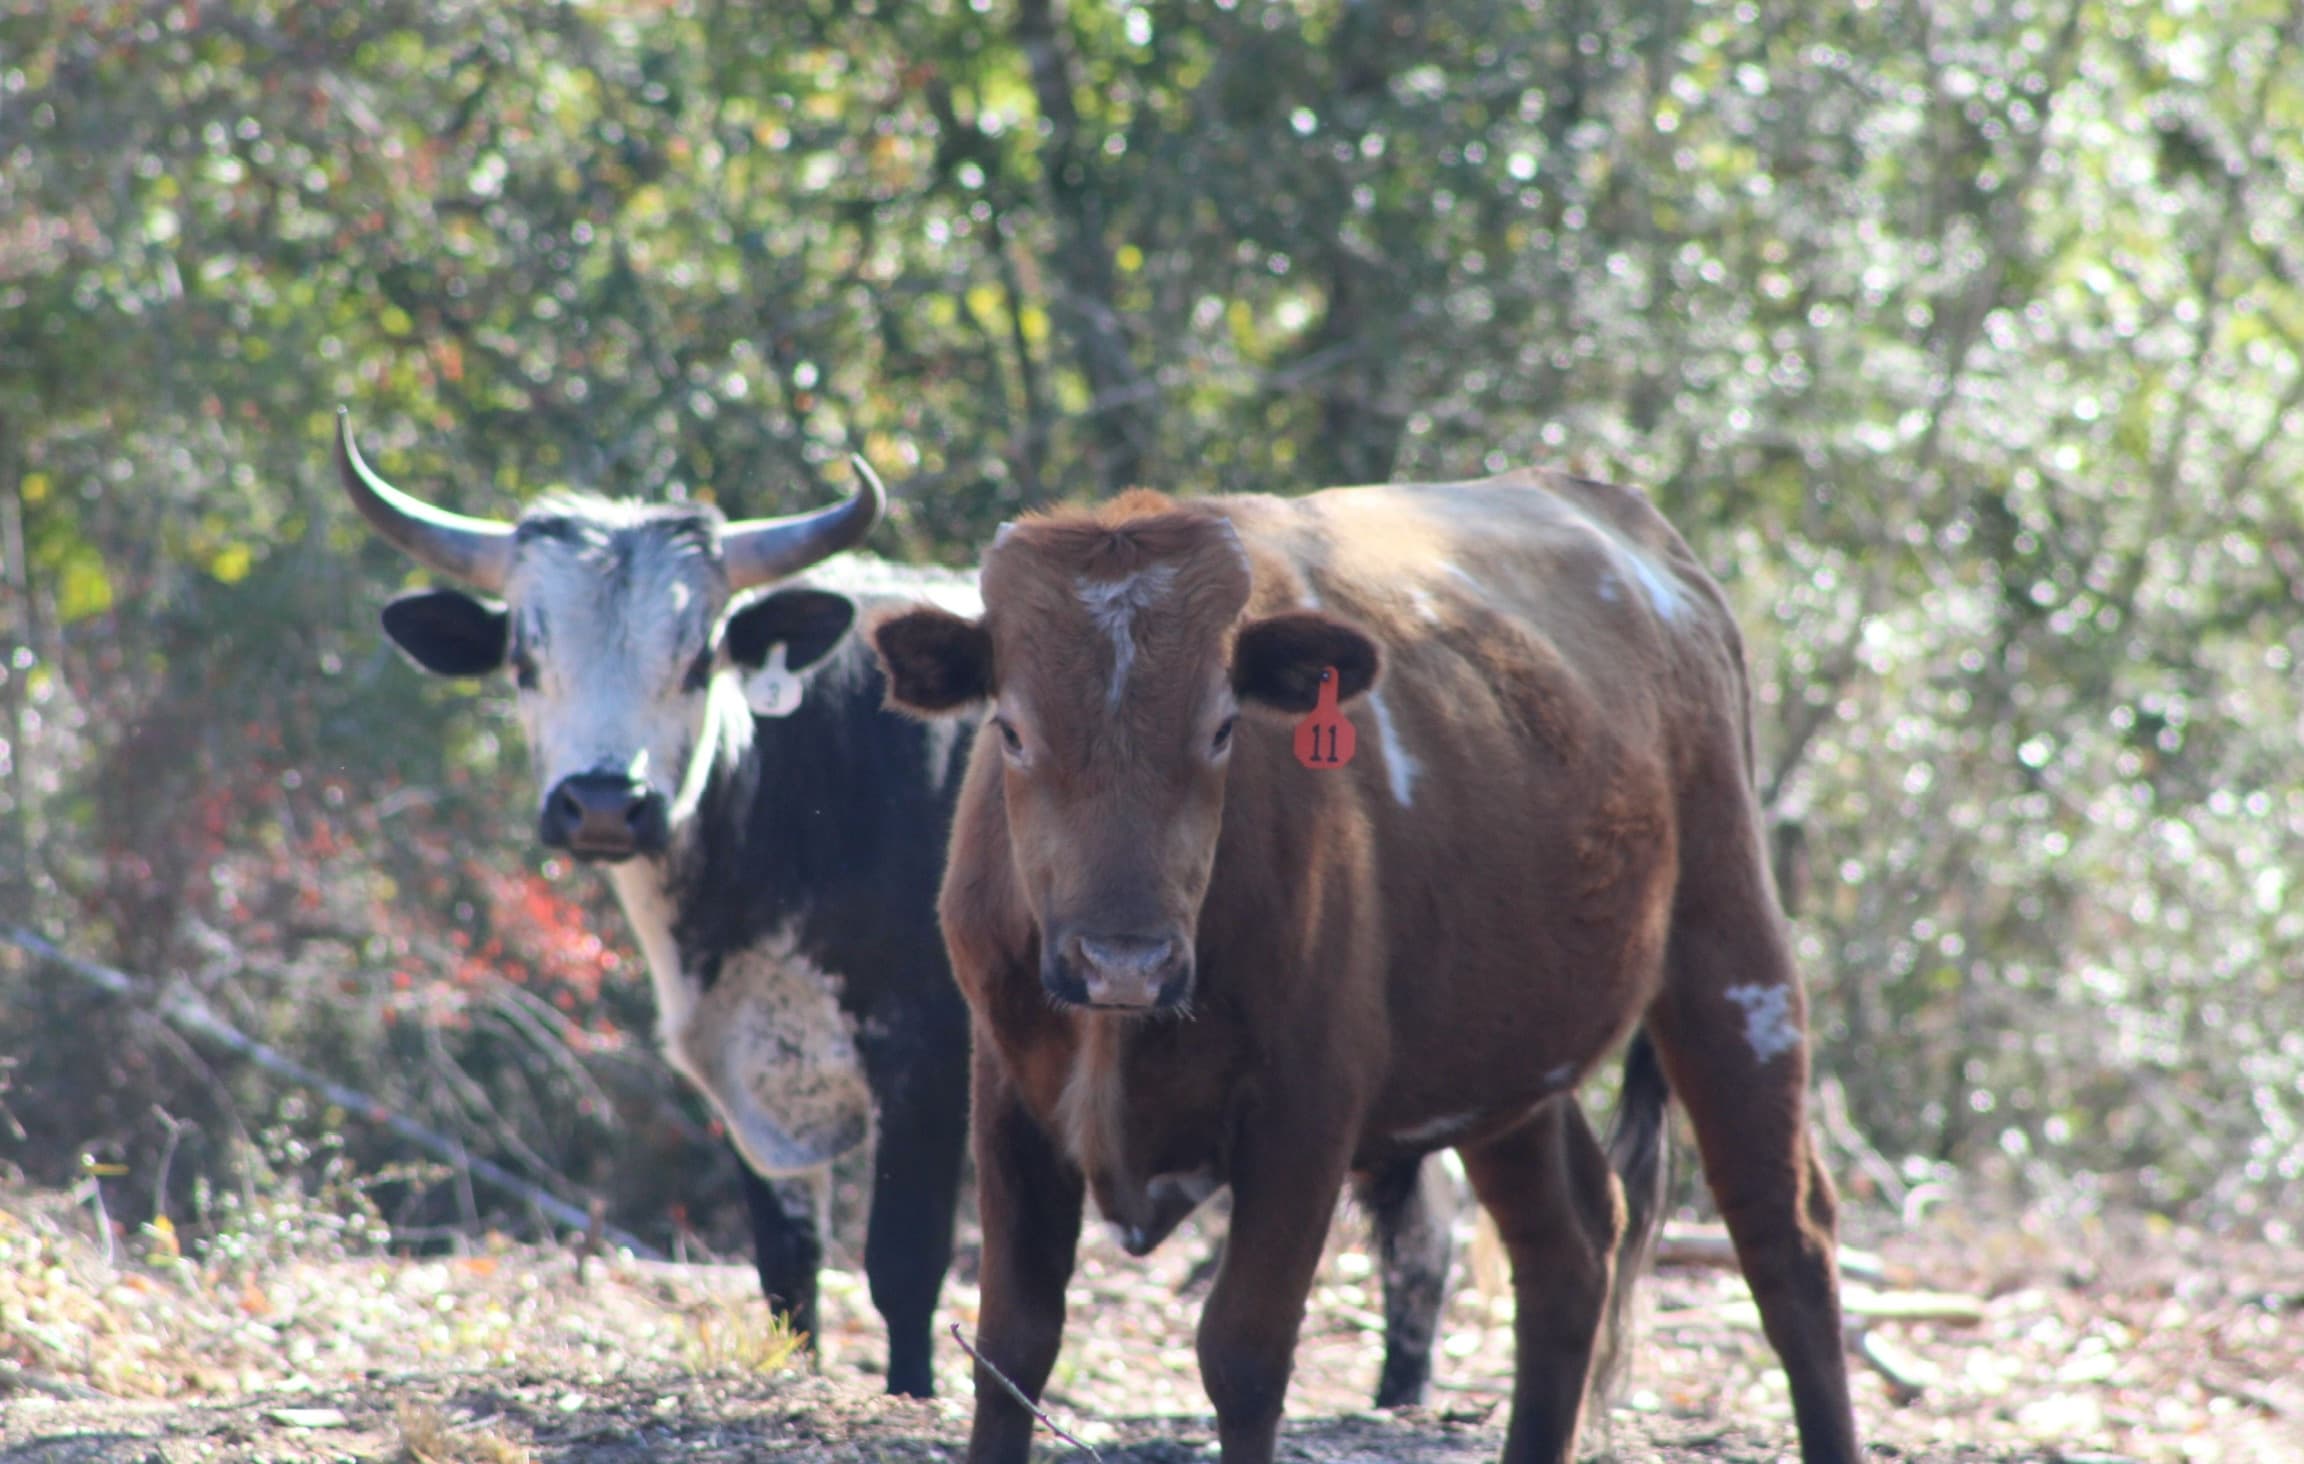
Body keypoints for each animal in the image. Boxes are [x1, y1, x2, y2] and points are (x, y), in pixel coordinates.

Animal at [869, 473, 1861, 1464]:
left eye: (1223, 728)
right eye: (1011, 730)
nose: (1125, 961)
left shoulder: (1306, 1109)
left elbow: (1242, 1353)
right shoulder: (1006, 1093)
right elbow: (1013, 1342)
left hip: (1732, 955)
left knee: (1785, 1236)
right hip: (1501, 1052)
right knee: (1571, 1244)